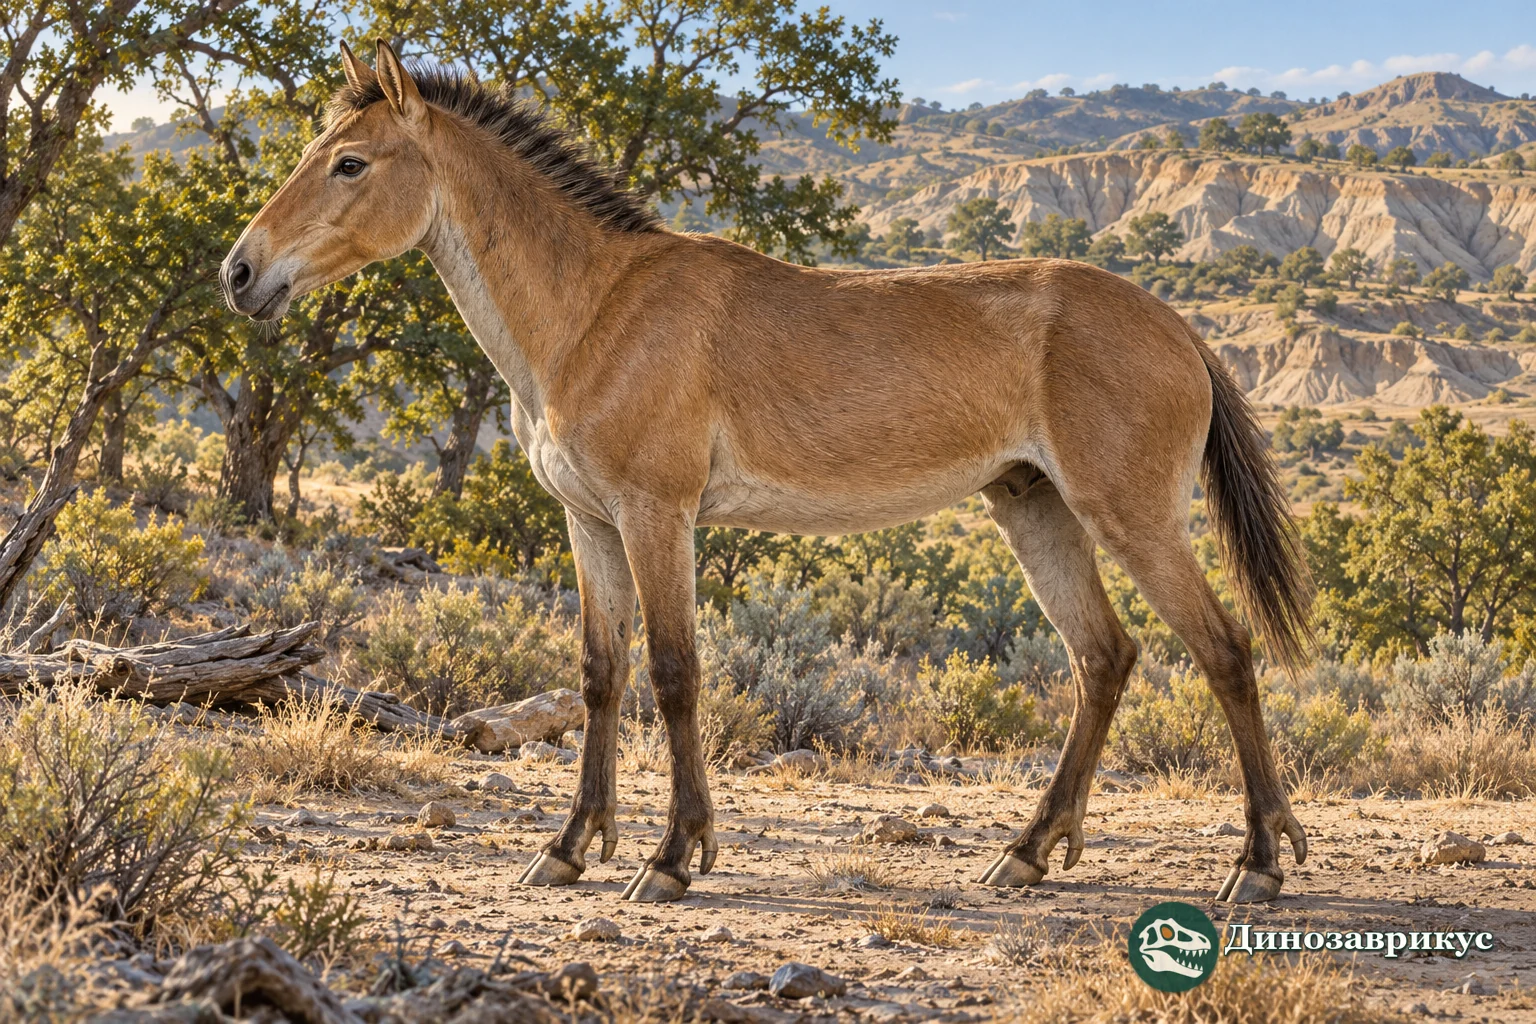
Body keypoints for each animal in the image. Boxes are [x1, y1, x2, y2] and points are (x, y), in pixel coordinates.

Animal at [221, 40, 1313, 904]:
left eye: (350, 162)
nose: (241, 272)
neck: (597, 307)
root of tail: (1177, 327)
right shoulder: (590, 523)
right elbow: (601, 676)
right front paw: (569, 849)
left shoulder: (657, 515)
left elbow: (675, 674)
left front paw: (671, 857)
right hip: (1035, 512)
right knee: (1104, 660)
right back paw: (1028, 852)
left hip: (1131, 518)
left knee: (1224, 653)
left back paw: (1257, 862)